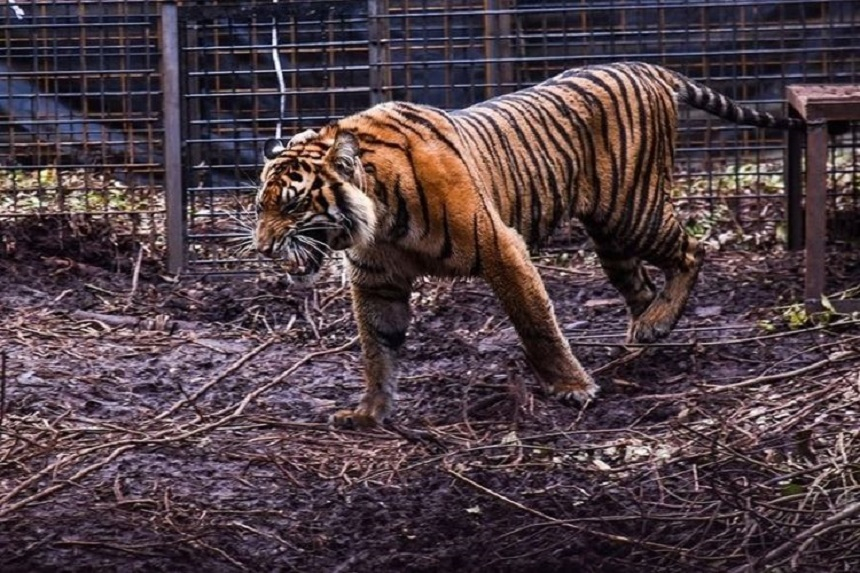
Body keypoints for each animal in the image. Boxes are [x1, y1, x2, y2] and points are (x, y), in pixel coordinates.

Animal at [252, 62, 804, 428]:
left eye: (294, 206)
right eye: (260, 207)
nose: (261, 250)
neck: (379, 217)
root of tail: (643, 66)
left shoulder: (502, 247)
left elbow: (536, 323)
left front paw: (572, 387)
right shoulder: (376, 280)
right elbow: (377, 348)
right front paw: (370, 411)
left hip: (635, 211)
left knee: (693, 251)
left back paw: (654, 326)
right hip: (611, 236)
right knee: (643, 287)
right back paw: (648, 333)